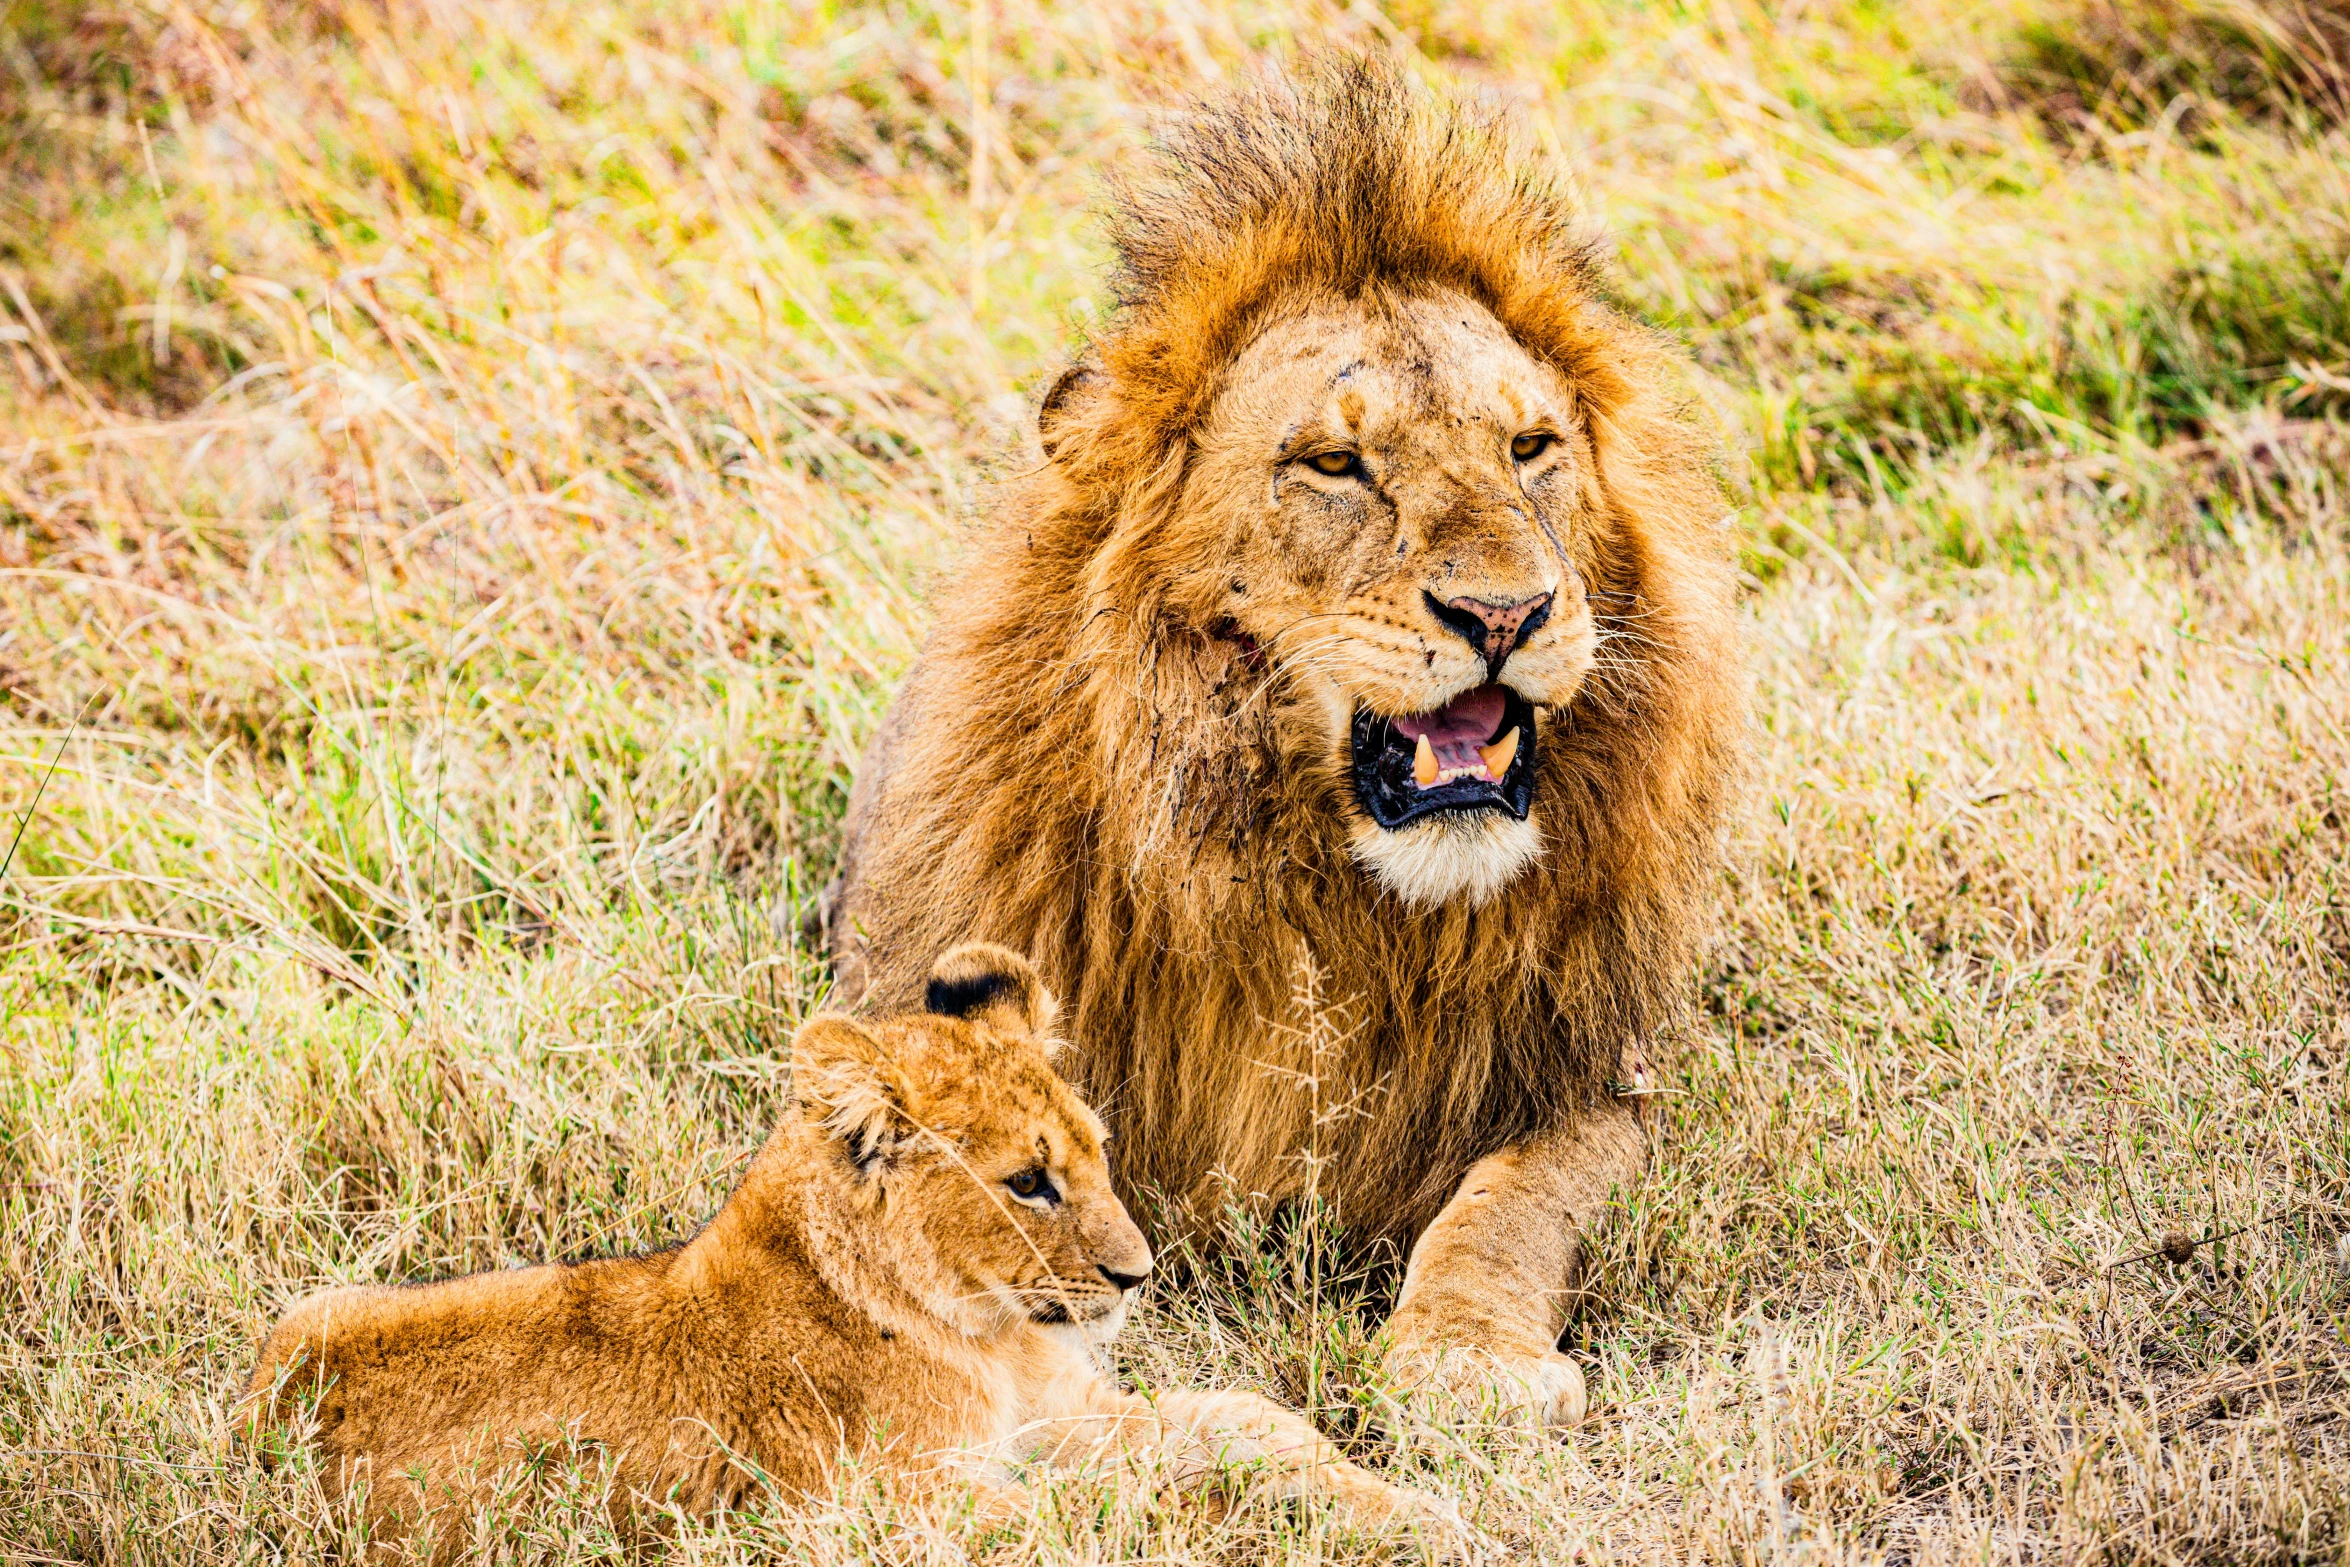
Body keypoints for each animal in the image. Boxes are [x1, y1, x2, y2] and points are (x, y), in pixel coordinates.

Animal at [817, 58, 1738, 1437]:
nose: (1506, 613)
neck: (1322, 894)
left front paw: (1465, 1356)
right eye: (1335, 464)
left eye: (1531, 448)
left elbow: (1517, 1198)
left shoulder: (1597, 1078)